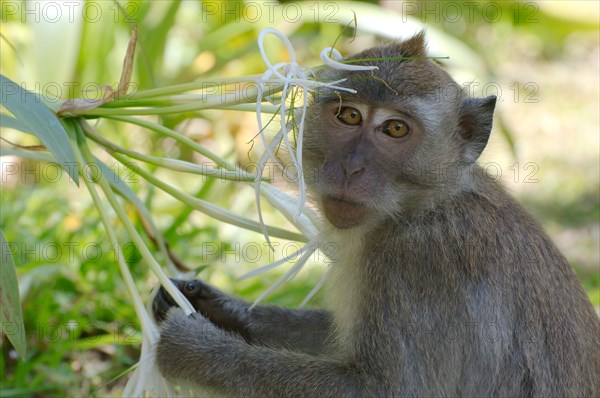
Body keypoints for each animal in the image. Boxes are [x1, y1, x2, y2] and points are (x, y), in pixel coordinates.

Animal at [152, 32, 596, 396]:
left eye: (395, 129)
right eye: (348, 115)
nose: (351, 168)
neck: (424, 207)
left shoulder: (417, 261)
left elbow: (386, 389)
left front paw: (192, 348)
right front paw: (213, 304)